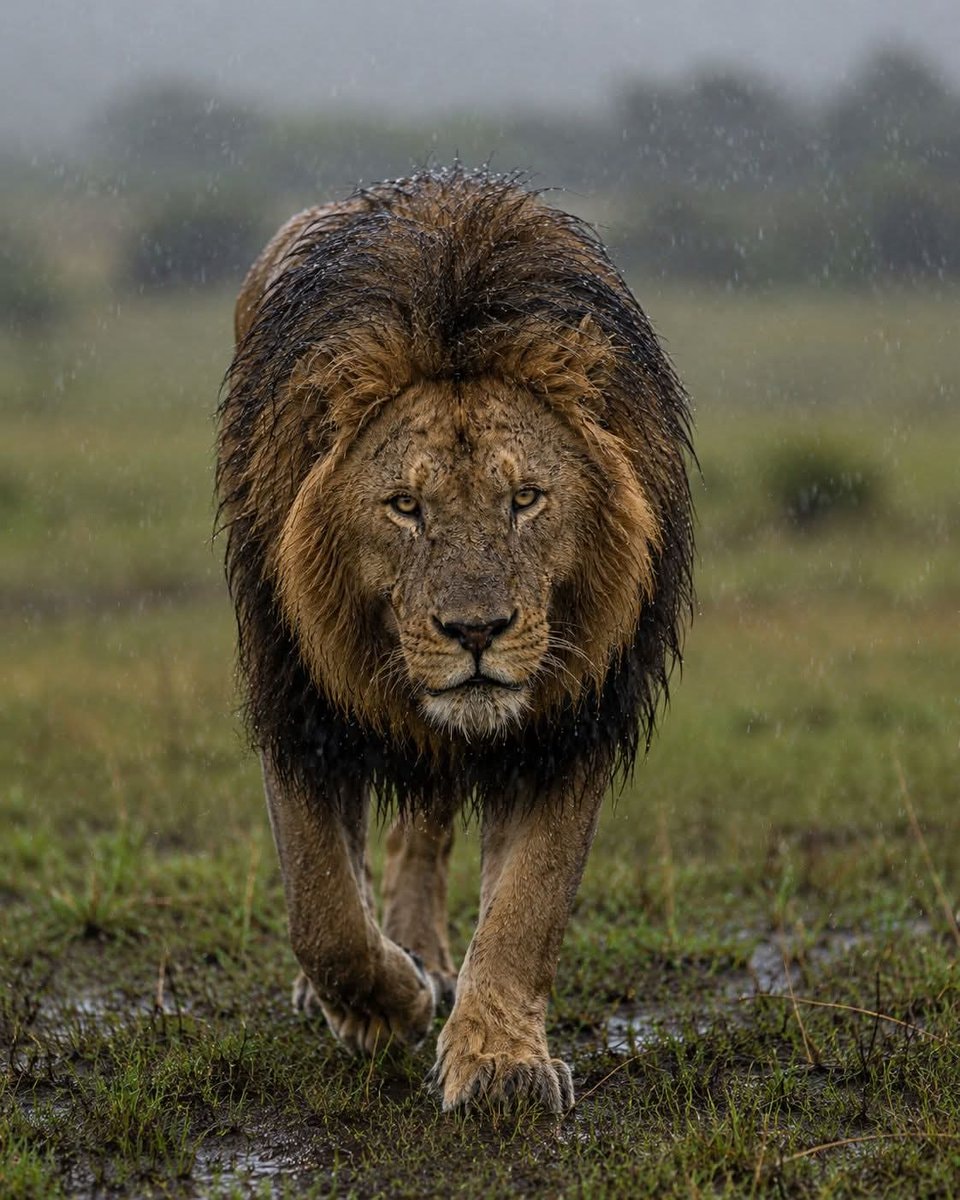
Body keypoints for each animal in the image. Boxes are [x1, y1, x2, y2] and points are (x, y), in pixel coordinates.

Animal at [217, 167, 694, 1113]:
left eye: (526, 500)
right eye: (406, 506)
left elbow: (529, 907)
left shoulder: (573, 719)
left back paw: (429, 955)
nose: (476, 632)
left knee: (426, 823)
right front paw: (384, 1005)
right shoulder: (295, 700)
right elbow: (321, 909)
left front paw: (499, 1062)